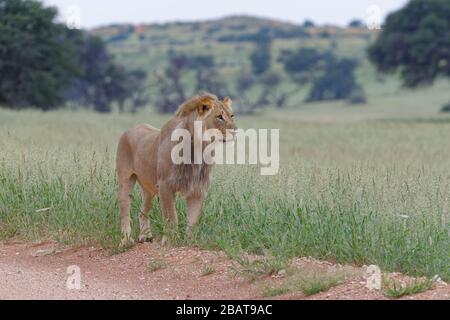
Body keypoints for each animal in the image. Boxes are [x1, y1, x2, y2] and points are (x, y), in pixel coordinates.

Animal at [116, 92, 237, 248]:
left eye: (231, 115)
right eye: (219, 117)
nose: (235, 131)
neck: (198, 149)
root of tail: (130, 129)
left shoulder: (198, 189)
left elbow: (193, 220)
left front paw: (190, 242)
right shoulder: (165, 186)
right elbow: (171, 216)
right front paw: (170, 241)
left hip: (148, 187)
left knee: (142, 210)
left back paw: (145, 236)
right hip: (126, 179)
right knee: (124, 210)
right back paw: (126, 240)